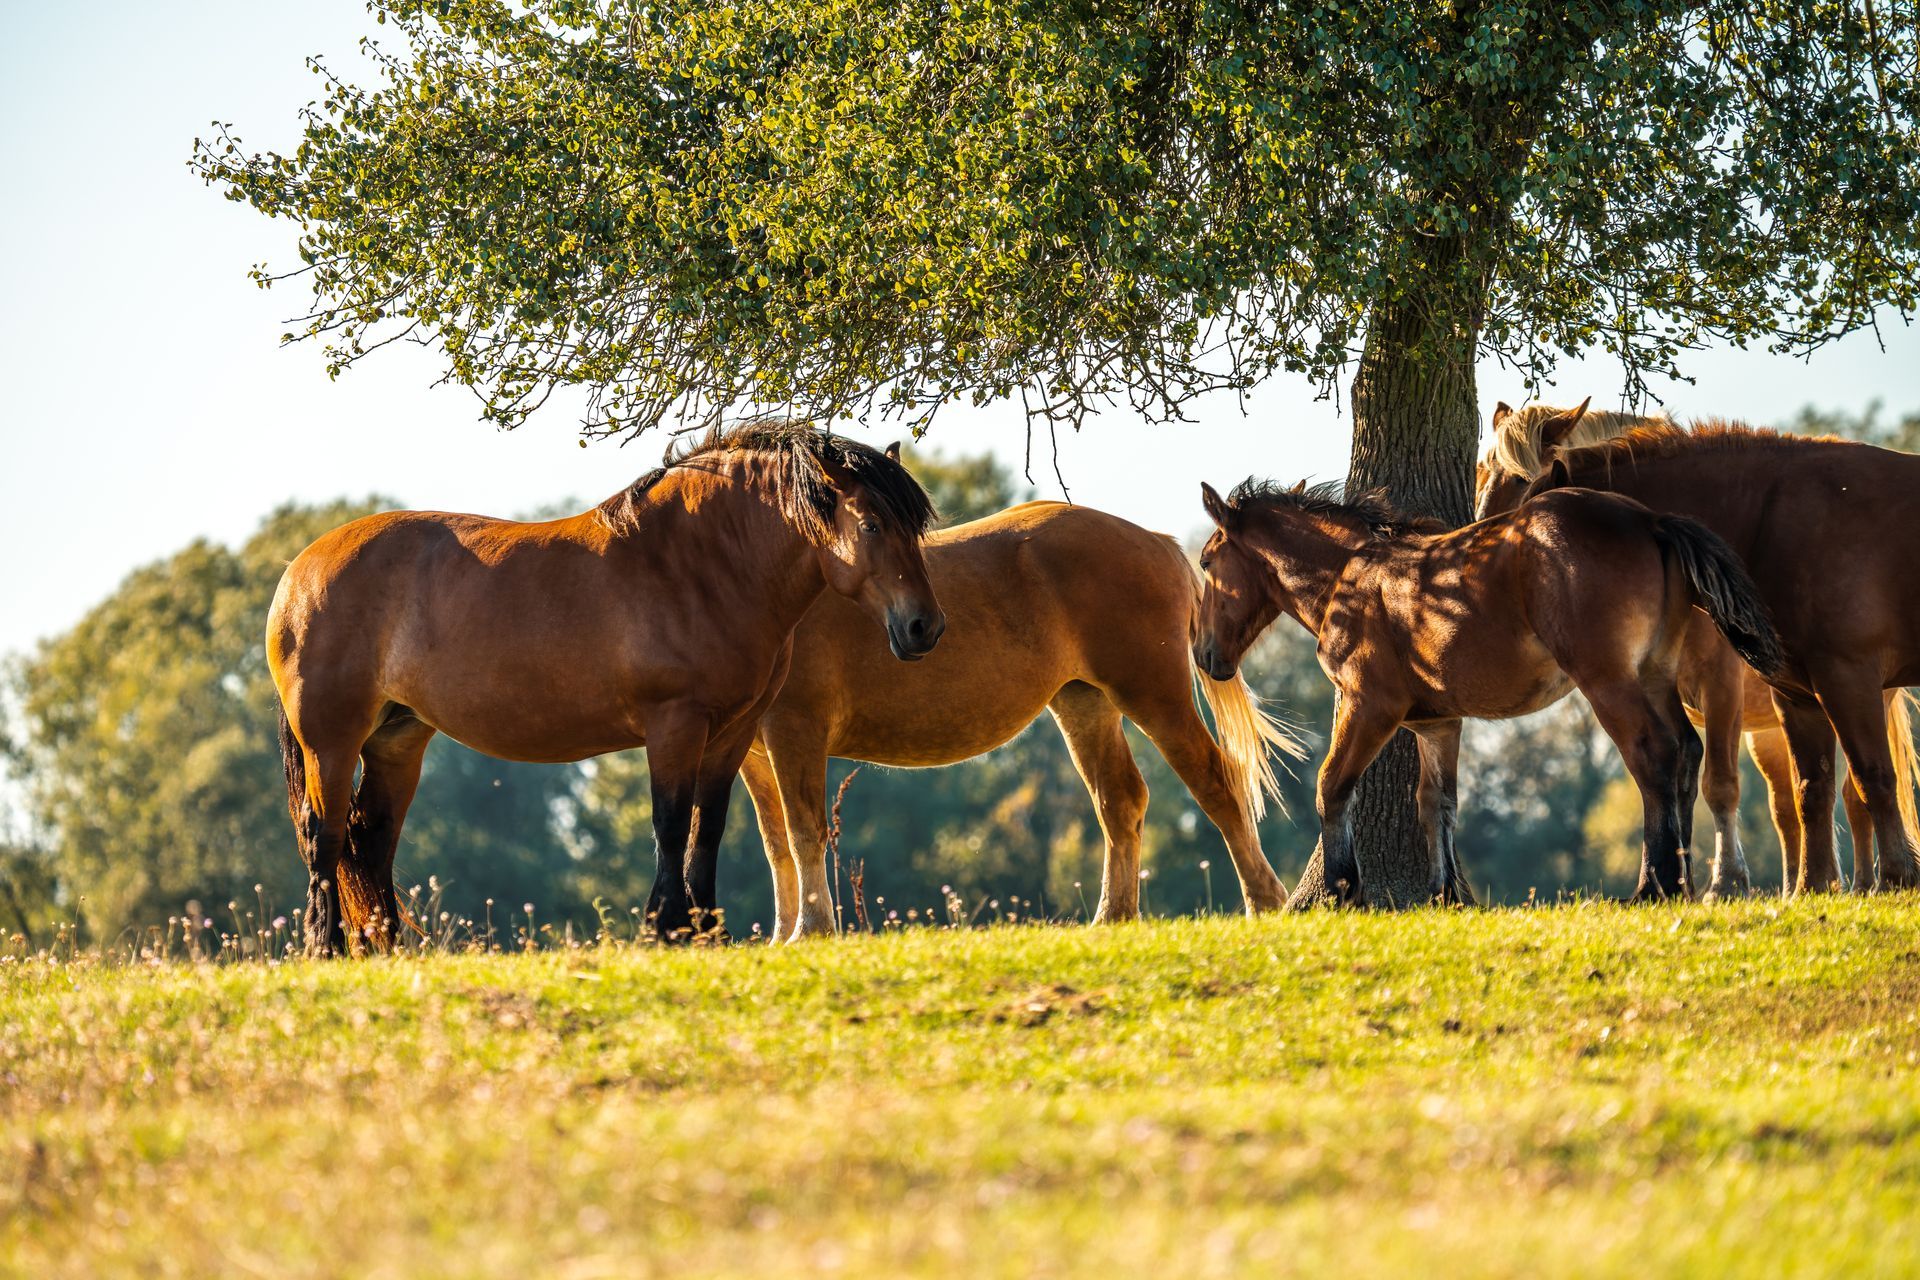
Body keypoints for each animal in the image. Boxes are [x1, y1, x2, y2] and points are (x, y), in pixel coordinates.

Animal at [268, 422, 942, 955]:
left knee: (371, 837)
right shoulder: (675, 724)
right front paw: (666, 928)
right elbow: (670, 822)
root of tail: (301, 571)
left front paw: (706, 931)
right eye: (872, 524)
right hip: (332, 740)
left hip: (397, 741)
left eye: (914, 526)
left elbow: (708, 825)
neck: (699, 567)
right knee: (325, 835)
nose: (924, 627)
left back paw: (384, 948)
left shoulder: (733, 730)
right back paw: (326, 949)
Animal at [735, 500, 1304, 940]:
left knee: (1216, 781)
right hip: (1083, 703)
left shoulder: (795, 730)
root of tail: (1157, 542)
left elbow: (802, 832)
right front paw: (784, 935)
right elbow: (775, 844)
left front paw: (809, 931)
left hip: (1154, 695)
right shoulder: (753, 754)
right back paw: (1112, 916)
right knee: (1119, 801)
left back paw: (1264, 901)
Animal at [1193, 479, 1785, 904]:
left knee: (1654, 756)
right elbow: (1436, 803)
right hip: (1656, 676)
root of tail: (1649, 520)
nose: (1202, 654)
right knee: (1686, 751)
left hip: (1610, 682)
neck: (1350, 575)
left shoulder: (1367, 706)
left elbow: (1332, 785)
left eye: (1206, 562)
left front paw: (1342, 888)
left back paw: (1654, 884)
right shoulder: (1437, 723)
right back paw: (1681, 880)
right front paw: (1445, 895)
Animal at [1477, 403, 1920, 894]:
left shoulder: (1793, 681)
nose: (1479, 546)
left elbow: (1738, 783)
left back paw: (1870, 882)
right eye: (1481, 472)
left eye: (1522, 481)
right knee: (1791, 803)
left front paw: (1726, 882)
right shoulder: (1791, 691)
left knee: (1855, 792)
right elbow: (1800, 787)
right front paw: (1803, 885)